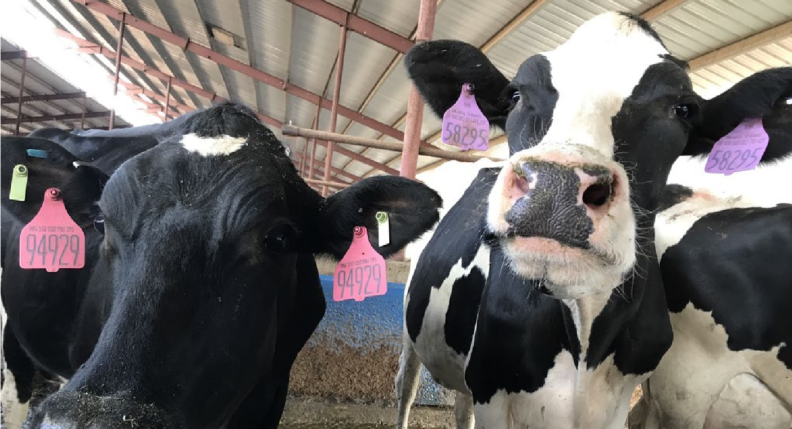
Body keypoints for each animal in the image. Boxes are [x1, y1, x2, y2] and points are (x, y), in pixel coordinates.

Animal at [395, 11, 789, 429]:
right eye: (515, 95)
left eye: (682, 109)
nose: (557, 187)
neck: (585, 341)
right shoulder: (493, 390)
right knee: (406, 387)